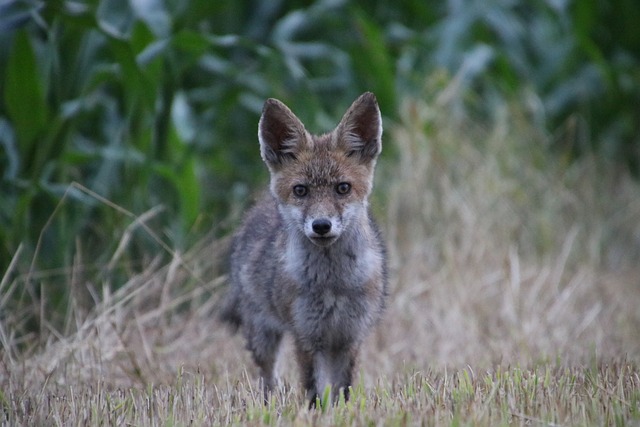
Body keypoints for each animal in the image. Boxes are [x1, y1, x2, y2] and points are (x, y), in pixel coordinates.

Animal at [221, 93, 384, 408]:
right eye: (301, 190)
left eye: (342, 188)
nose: (321, 225)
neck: (333, 285)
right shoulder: (307, 337)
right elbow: (313, 390)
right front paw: (315, 413)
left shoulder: (349, 337)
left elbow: (342, 390)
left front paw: (342, 413)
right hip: (263, 336)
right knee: (267, 377)